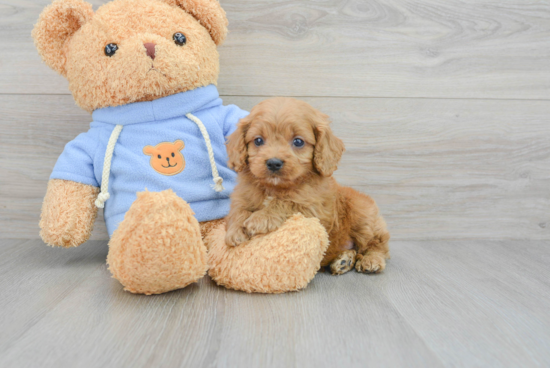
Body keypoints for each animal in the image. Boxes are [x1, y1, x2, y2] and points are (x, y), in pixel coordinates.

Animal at [225, 98, 392, 276]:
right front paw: (235, 231)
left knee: (377, 244)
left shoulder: (313, 208)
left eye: (298, 141)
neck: (276, 187)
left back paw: (371, 260)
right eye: (258, 140)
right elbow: (238, 210)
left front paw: (261, 218)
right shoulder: (242, 196)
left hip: (362, 213)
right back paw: (343, 261)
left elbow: (286, 202)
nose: (274, 163)